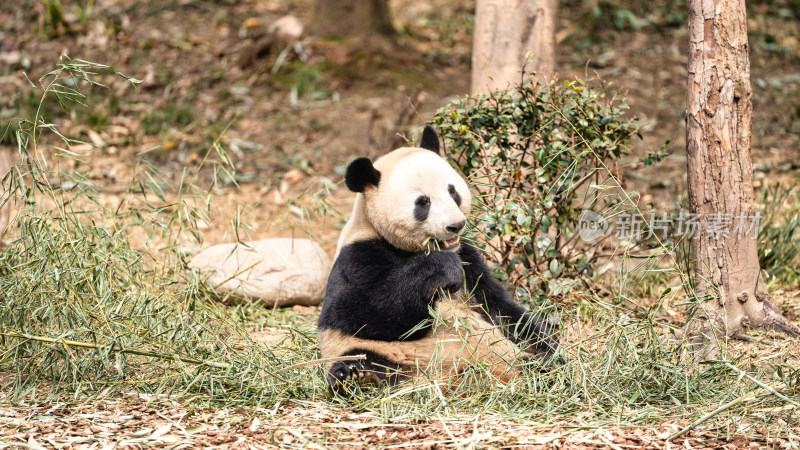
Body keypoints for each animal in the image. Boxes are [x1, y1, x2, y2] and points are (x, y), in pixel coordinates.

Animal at [318, 125, 556, 392]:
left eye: (452, 191)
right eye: (423, 203)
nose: (456, 225)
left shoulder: (468, 257)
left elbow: (499, 306)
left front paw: (552, 351)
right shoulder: (358, 255)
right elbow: (354, 312)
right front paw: (442, 271)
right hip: (380, 354)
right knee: (363, 359)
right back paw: (357, 378)